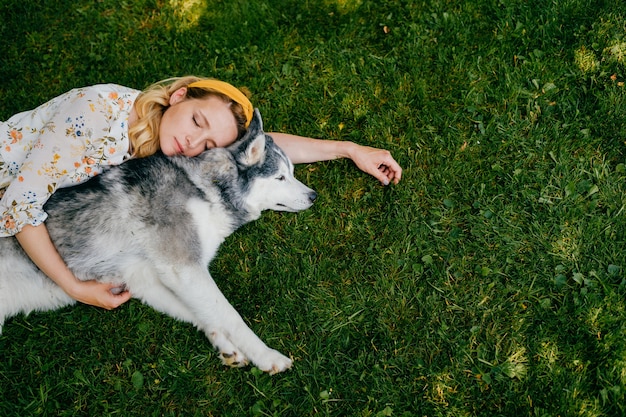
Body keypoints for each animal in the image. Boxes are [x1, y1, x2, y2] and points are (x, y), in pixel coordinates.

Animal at [0, 109, 314, 376]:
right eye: (280, 177)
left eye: (292, 173)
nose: (314, 196)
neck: (204, 189)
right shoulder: (182, 267)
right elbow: (229, 315)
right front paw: (267, 356)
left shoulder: (146, 278)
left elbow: (201, 312)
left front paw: (224, 345)